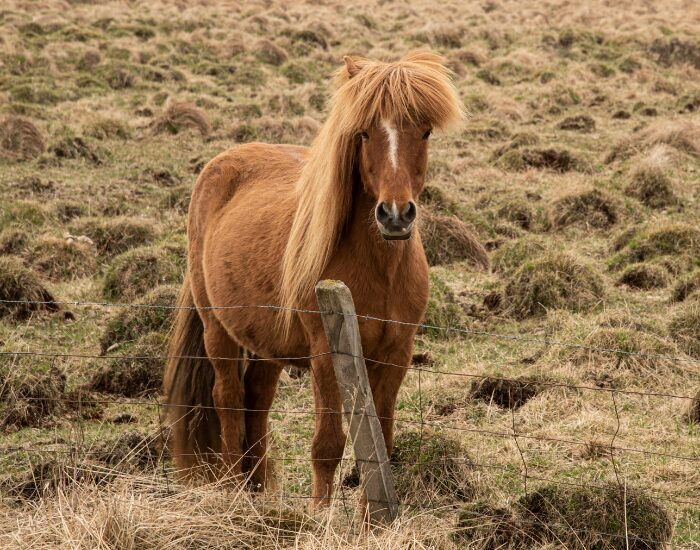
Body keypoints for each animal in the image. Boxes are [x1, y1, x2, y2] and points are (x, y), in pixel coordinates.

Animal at [164, 51, 463, 507]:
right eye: (363, 133)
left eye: (425, 132)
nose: (395, 215)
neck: (380, 270)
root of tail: (218, 165)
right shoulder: (326, 353)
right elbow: (327, 444)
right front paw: (321, 514)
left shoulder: (397, 353)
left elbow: (381, 444)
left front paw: (372, 516)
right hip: (218, 329)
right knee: (228, 399)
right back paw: (233, 490)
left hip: (266, 343)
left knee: (256, 401)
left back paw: (256, 492)